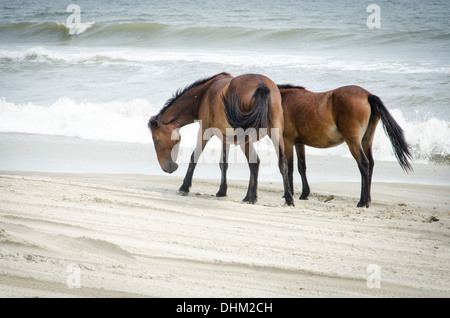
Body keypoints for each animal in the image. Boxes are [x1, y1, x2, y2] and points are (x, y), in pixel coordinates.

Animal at [148, 72, 296, 206]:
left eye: (155, 139)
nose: (168, 168)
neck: (204, 94)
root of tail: (262, 86)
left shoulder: (204, 131)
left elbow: (194, 157)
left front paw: (184, 187)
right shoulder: (225, 138)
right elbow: (223, 163)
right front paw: (222, 191)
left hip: (246, 139)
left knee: (255, 163)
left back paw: (249, 197)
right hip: (275, 133)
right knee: (282, 162)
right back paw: (288, 198)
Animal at [280, 84, 414, 207]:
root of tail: (367, 95)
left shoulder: (287, 141)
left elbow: (289, 167)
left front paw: (289, 195)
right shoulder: (299, 143)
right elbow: (301, 167)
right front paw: (304, 194)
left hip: (353, 141)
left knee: (364, 163)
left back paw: (362, 201)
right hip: (366, 140)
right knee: (370, 163)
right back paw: (367, 199)